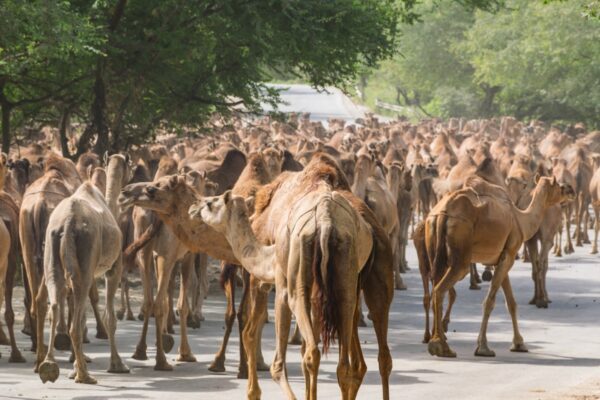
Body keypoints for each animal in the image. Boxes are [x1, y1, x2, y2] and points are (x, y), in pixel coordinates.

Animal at [38, 154, 132, 384]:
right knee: (74, 321)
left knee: (55, 305)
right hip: (86, 254)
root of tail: (68, 222)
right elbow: (110, 317)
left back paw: (49, 366)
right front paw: (118, 365)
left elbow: (80, 316)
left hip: (52, 252)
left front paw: (73, 366)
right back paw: (84, 375)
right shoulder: (113, 267)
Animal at [424, 175, 576, 356]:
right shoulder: (509, 254)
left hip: (433, 242)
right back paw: (441, 346)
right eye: (559, 185)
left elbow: (511, 303)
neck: (521, 220)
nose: (572, 190)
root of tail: (442, 213)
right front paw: (483, 347)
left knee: (435, 285)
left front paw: (519, 344)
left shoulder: (501, 258)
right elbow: (490, 302)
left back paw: (436, 341)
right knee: (440, 289)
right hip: (460, 252)